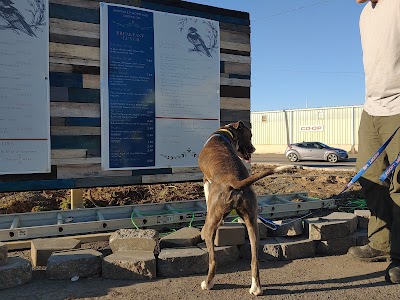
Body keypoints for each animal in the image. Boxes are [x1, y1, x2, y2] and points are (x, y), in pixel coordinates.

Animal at [198, 120, 292, 296]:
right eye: (250, 135)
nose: (254, 149)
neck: (225, 134)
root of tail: (234, 181)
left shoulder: (206, 180)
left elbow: (206, 199)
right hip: (252, 222)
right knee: (255, 259)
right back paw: (256, 288)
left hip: (212, 225)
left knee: (213, 260)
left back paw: (207, 283)